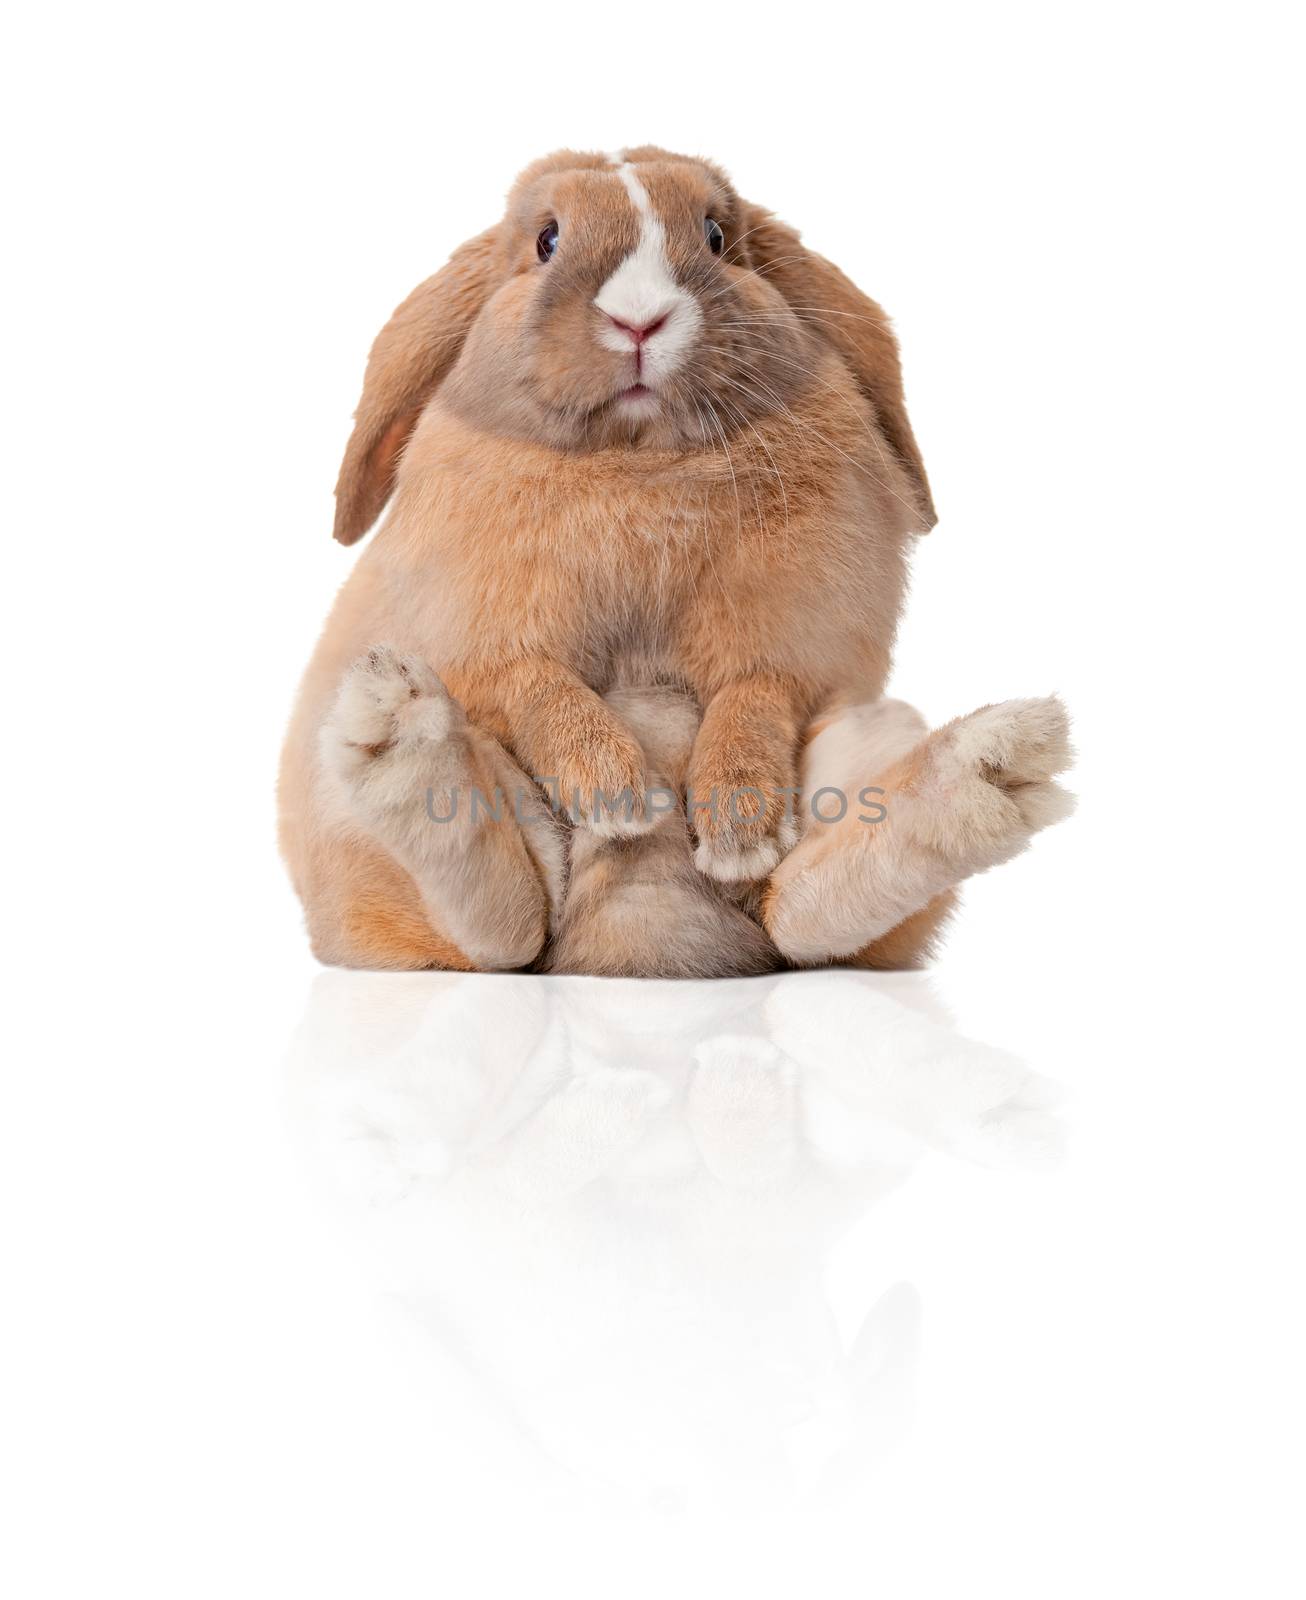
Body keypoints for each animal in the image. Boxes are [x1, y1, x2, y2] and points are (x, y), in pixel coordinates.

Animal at [275, 147, 1069, 972]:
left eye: (717, 236)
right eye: (547, 240)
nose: (638, 319)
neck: (639, 457)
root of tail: (631, 949)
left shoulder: (790, 646)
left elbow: (754, 696)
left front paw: (737, 826)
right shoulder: (486, 635)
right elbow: (537, 687)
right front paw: (620, 796)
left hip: (866, 738)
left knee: (807, 915)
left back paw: (990, 764)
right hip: (348, 820)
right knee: (502, 923)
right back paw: (402, 736)